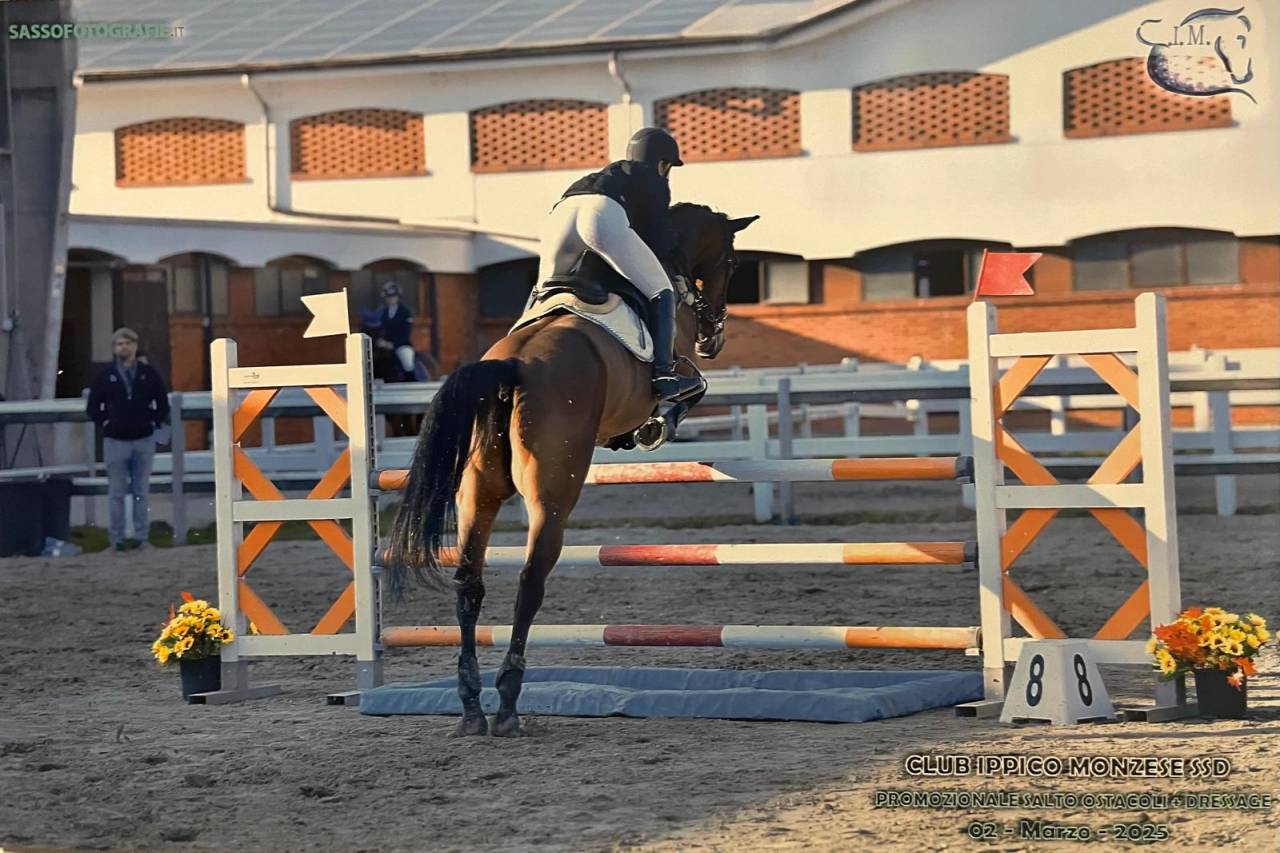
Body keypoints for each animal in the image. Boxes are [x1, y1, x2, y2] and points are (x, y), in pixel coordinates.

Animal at [386, 203, 757, 736]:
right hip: (552, 494)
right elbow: (690, 390)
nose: (715, 338)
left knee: (469, 582)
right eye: (731, 261)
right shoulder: (681, 366)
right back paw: (508, 703)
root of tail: (514, 366)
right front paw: (657, 425)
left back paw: (472, 707)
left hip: (477, 492)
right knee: (530, 580)